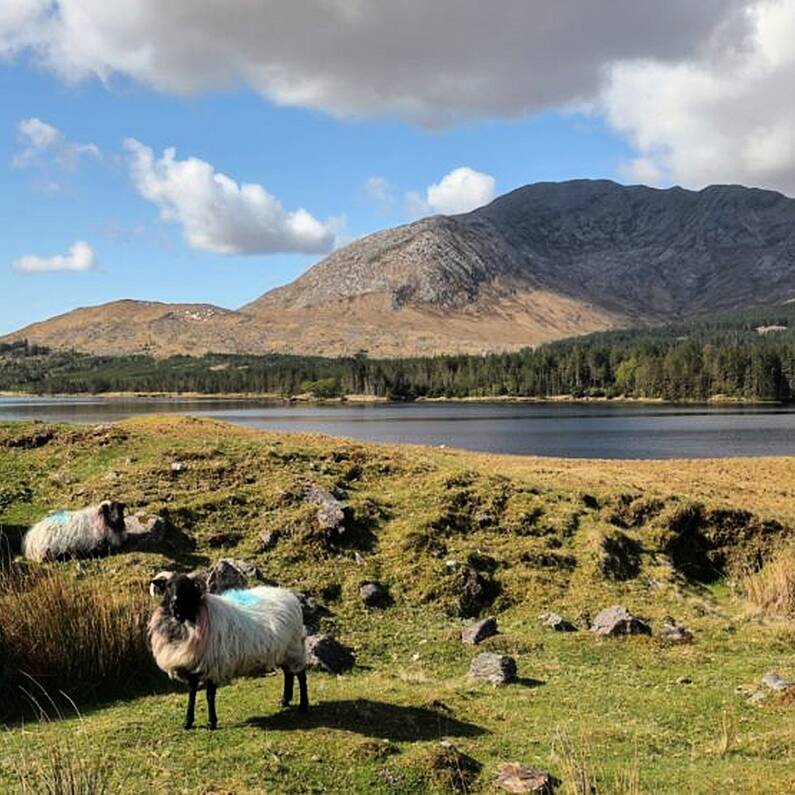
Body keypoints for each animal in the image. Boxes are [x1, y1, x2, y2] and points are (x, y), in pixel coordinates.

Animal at [148, 576, 310, 732]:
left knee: (301, 676)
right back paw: (285, 700)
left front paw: (211, 723)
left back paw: (303, 705)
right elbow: (192, 694)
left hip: (294, 648)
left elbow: (209, 695)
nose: (174, 603)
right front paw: (187, 722)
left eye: (187, 587)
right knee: (288, 674)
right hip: (284, 652)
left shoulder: (212, 666)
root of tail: (289, 595)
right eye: (168, 586)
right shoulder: (191, 667)